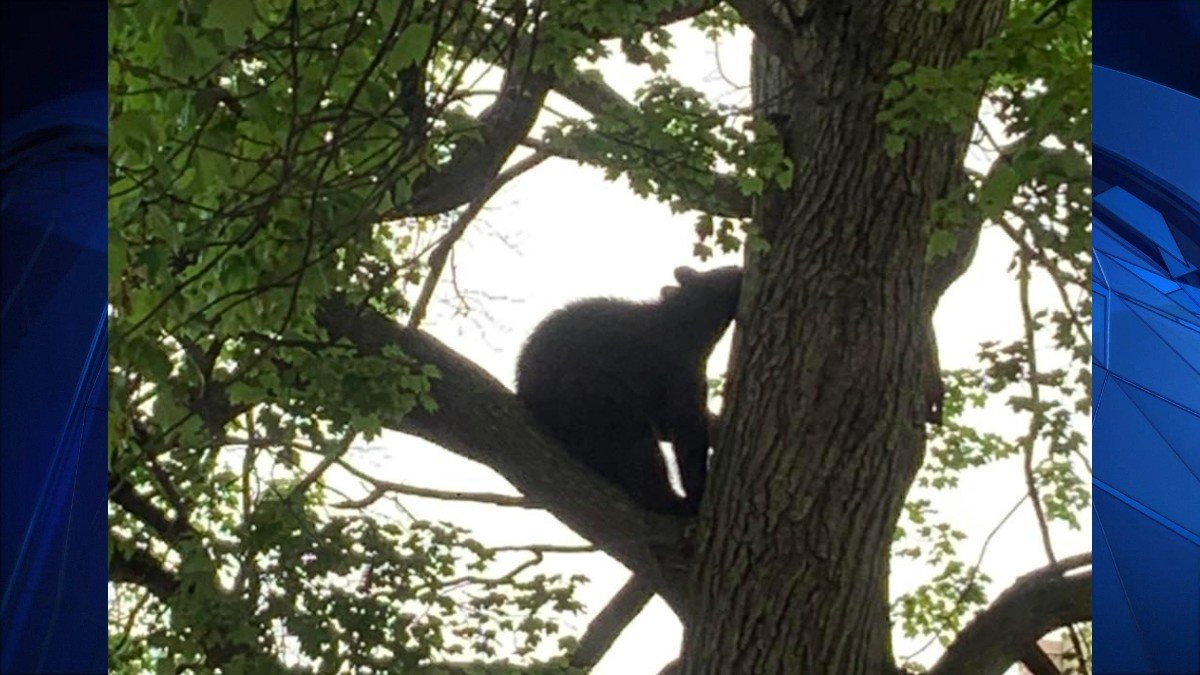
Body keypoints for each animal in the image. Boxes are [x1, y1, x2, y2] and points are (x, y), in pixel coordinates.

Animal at [515, 266, 742, 515]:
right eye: (718, 275)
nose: (738, 268)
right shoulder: (680, 381)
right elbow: (688, 438)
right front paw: (697, 492)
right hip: (603, 403)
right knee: (640, 457)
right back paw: (672, 501)